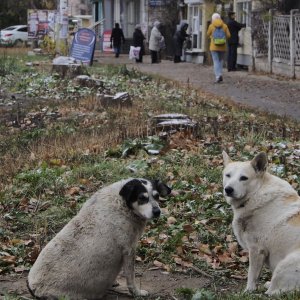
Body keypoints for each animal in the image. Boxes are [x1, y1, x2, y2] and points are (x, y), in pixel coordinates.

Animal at [27, 178, 171, 298]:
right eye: (142, 198)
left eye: (157, 196)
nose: (157, 212)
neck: (122, 204)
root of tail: (33, 287)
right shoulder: (129, 250)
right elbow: (131, 280)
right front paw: (137, 293)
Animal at [221, 152, 300, 296]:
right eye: (228, 175)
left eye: (244, 178)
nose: (228, 189)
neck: (257, 193)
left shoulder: (256, 249)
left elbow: (252, 275)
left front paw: (248, 291)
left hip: (284, 265)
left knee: (273, 292)